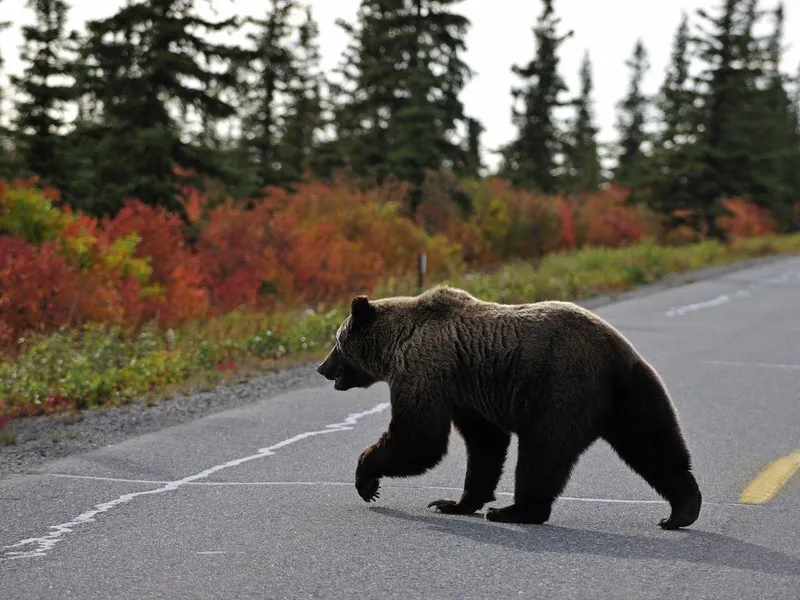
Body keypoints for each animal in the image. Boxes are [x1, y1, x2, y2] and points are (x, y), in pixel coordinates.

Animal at [316, 286, 704, 528]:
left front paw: (367, 480)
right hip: (631, 393)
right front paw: (454, 503)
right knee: (654, 444)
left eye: (336, 341)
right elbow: (485, 444)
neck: (396, 344)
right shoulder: (466, 394)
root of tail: (614, 353)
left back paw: (515, 510)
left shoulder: (424, 371)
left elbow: (419, 437)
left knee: (542, 454)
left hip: (560, 389)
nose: (322, 368)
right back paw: (681, 510)